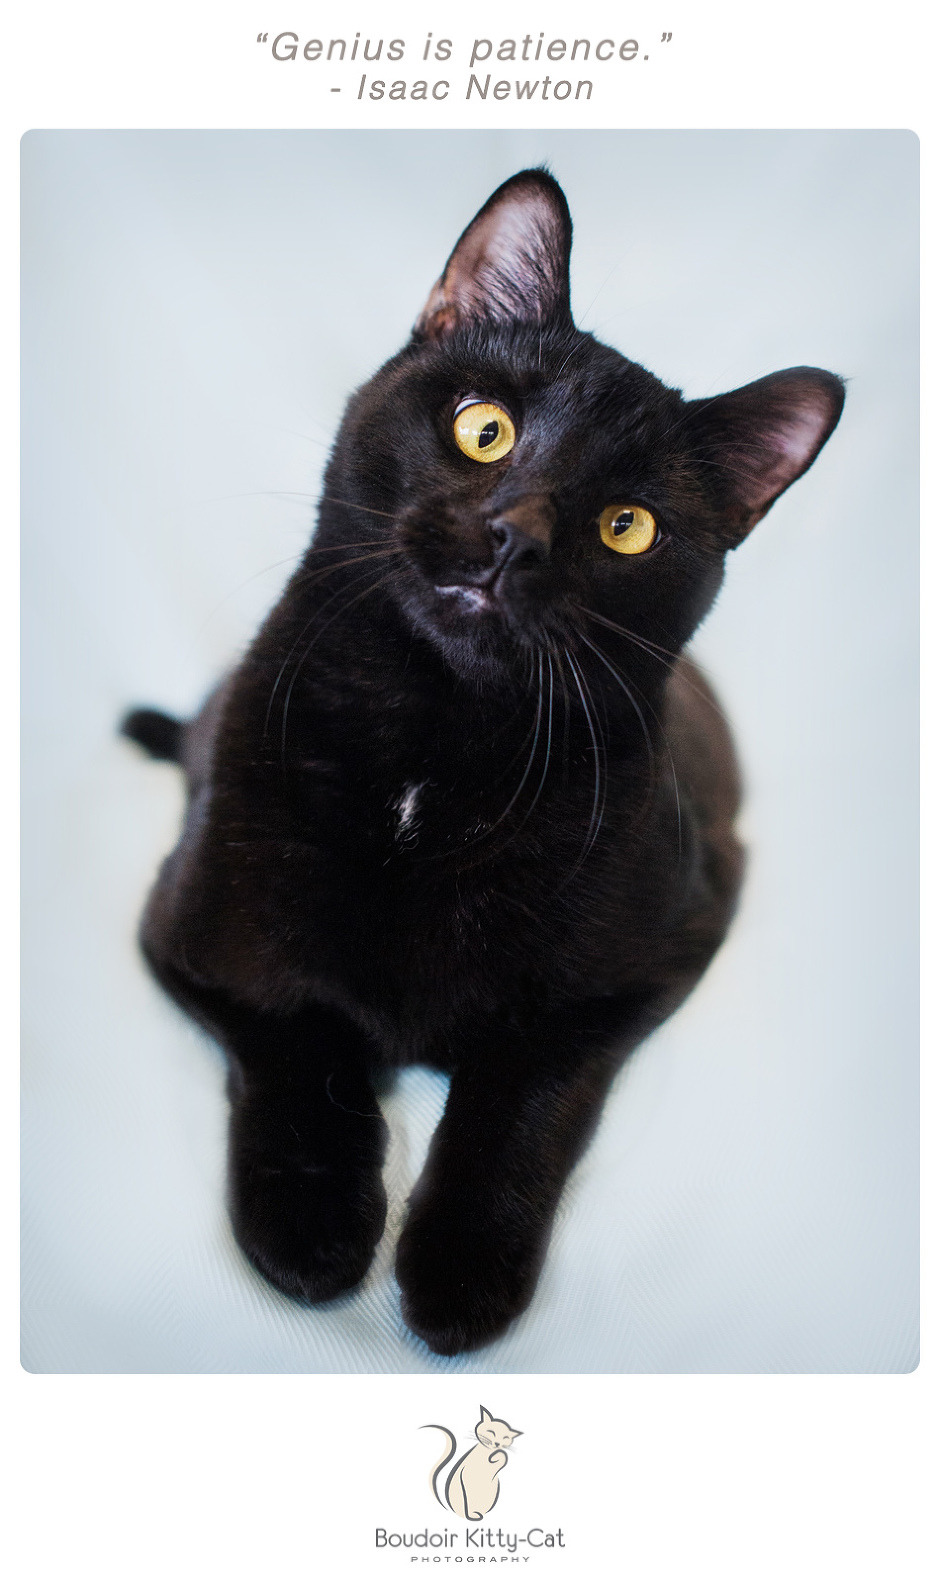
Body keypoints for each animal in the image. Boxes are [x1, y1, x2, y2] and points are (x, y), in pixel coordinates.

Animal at [124, 176, 841, 1360]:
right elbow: (302, 1040)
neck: (432, 744)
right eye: (483, 428)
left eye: (628, 526)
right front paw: (313, 1229)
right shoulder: (194, 940)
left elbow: (519, 1099)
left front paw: (460, 1274)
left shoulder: (644, 968)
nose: (516, 536)